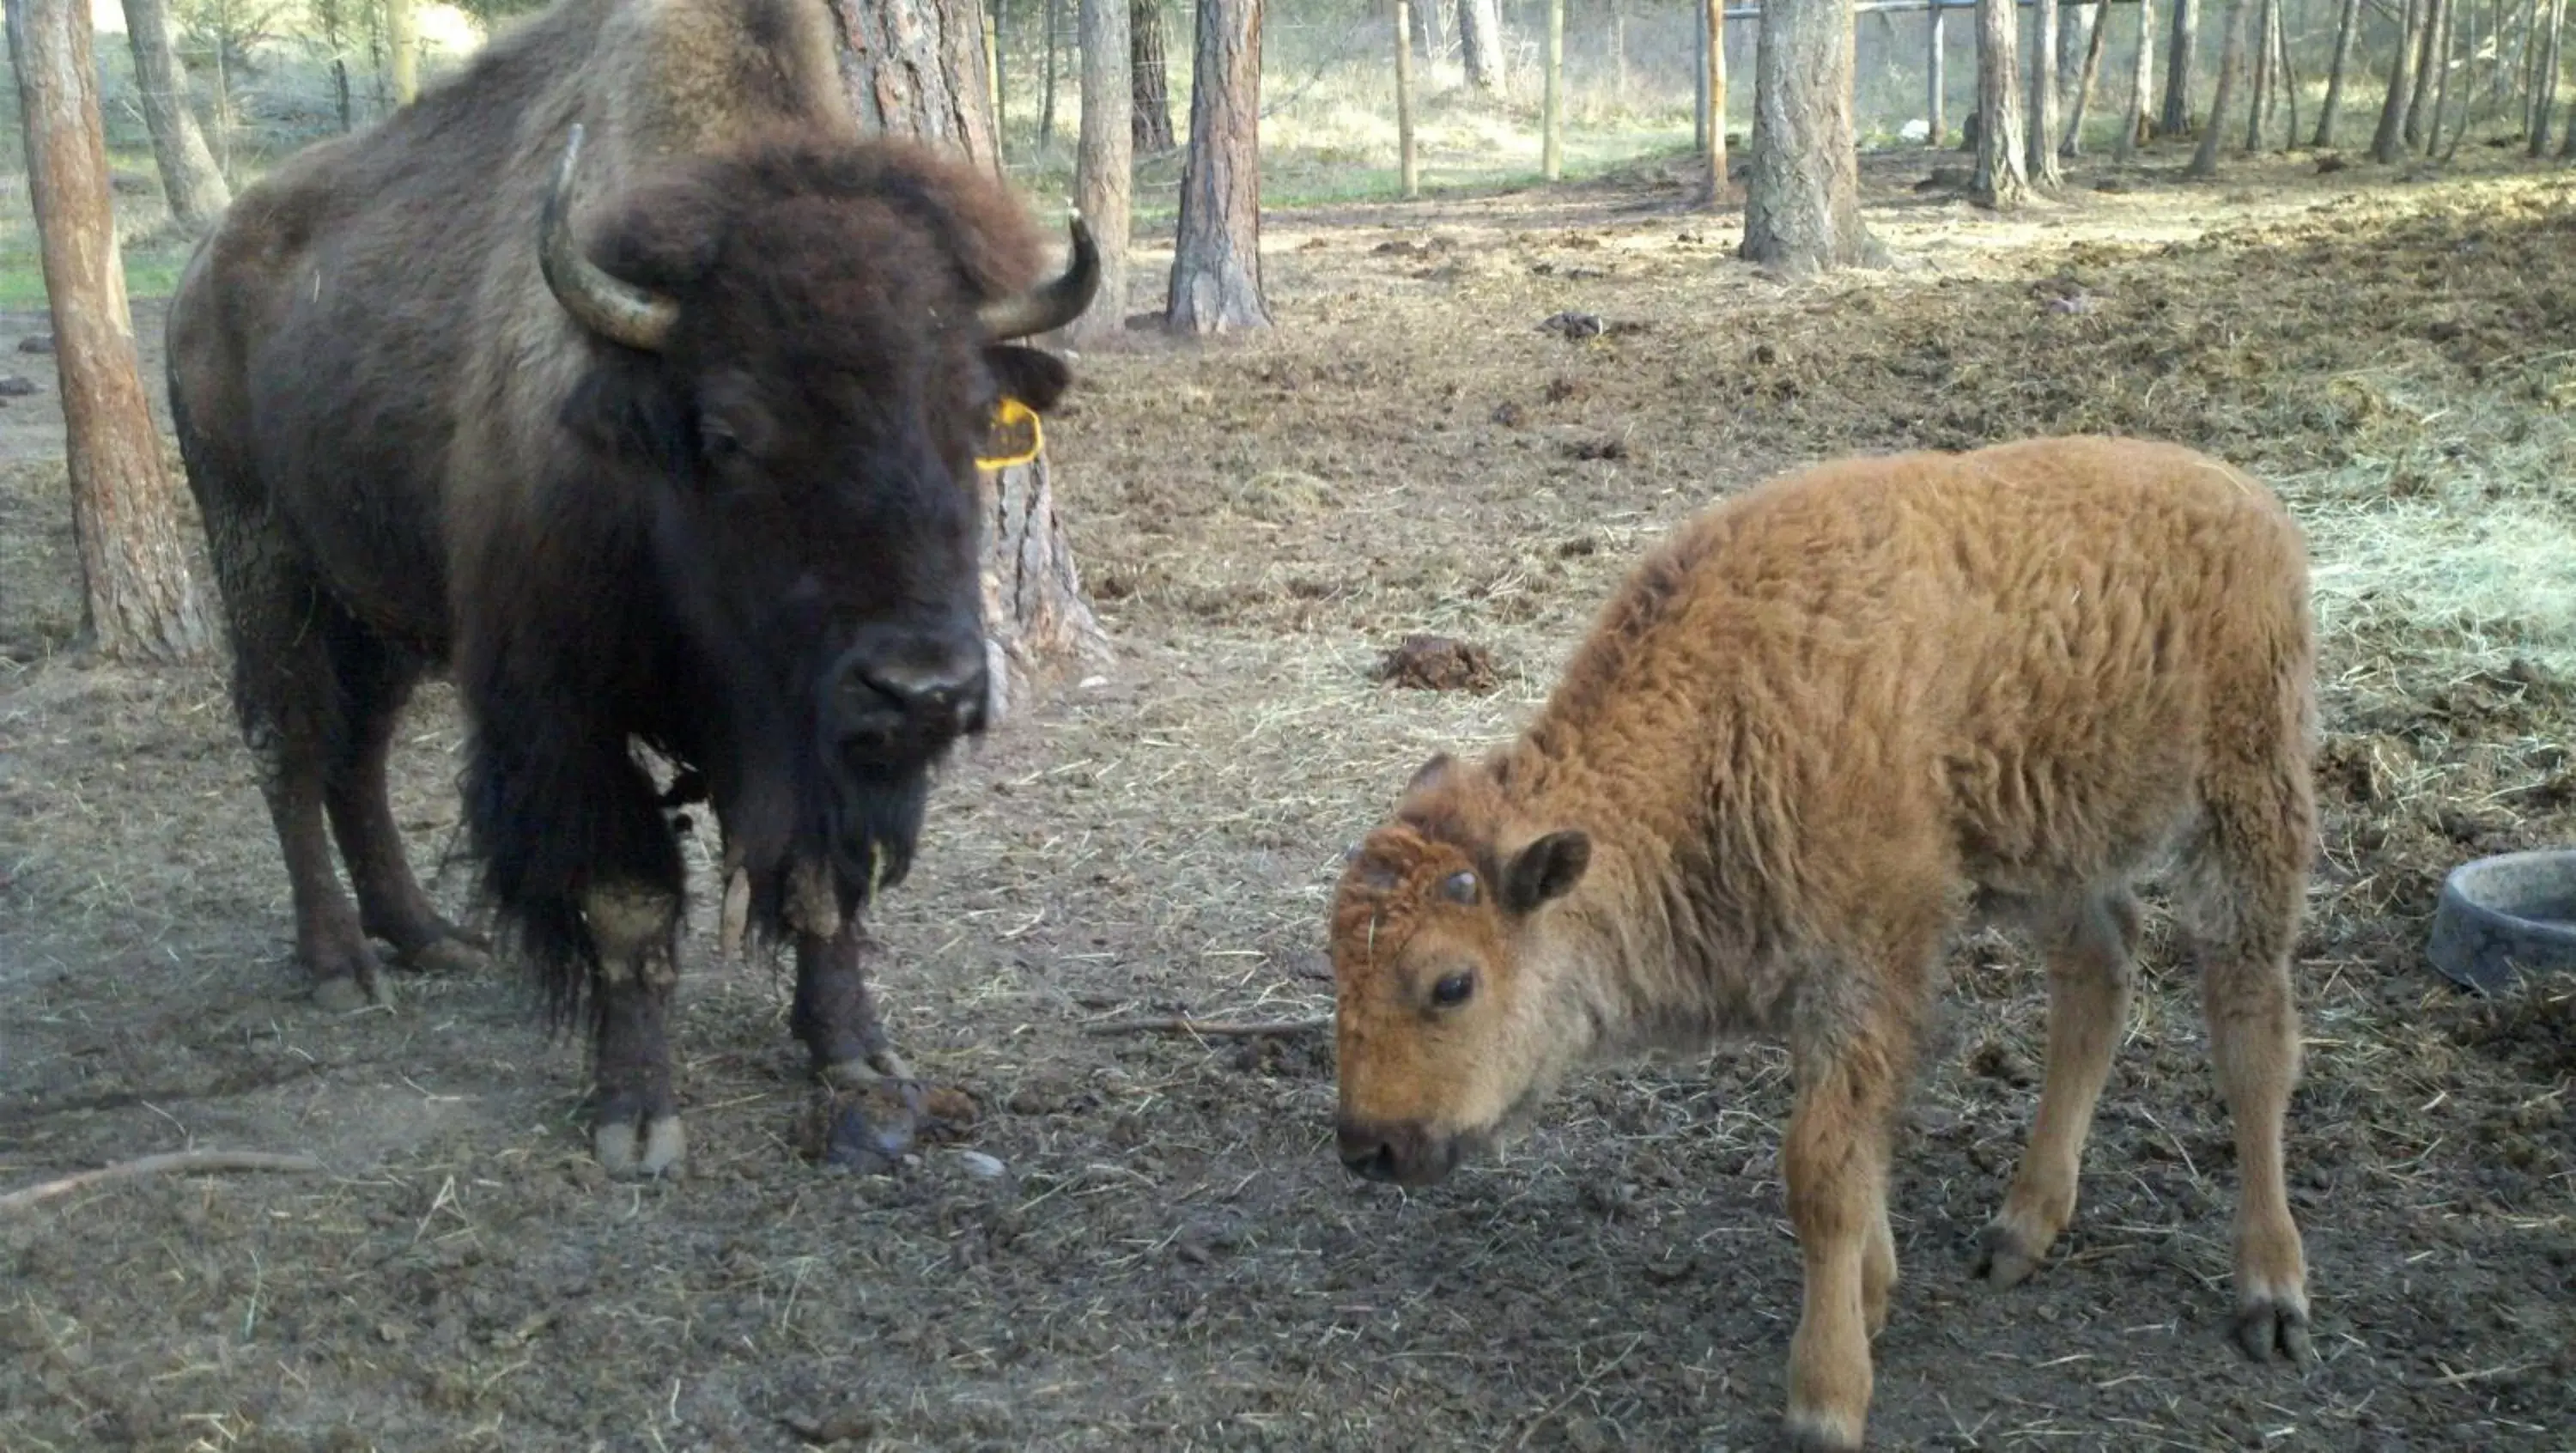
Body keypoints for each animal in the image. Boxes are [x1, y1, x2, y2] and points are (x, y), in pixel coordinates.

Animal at [161, 0, 1087, 1170]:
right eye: (730, 433)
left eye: (971, 422)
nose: (924, 690)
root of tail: (202, 270)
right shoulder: (565, 708)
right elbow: (629, 902)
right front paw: (636, 1120)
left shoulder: (810, 733)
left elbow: (822, 885)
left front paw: (855, 1055)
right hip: (262, 560)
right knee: (289, 743)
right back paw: (340, 966)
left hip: (380, 607)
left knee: (357, 759)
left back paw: (429, 938)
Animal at [1329, 438, 2318, 1443]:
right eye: (1338, 967)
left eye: (1452, 983)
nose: (1368, 1148)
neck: (1725, 713)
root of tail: (2253, 505)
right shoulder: (1828, 983)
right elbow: (1856, 1144)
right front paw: (1875, 1295)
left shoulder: (1865, 964)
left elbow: (1823, 1172)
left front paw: (1826, 1400)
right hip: (2058, 848)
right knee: (2099, 975)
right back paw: (2019, 1231)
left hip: (2248, 806)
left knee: (2253, 1032)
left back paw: (2271, 1294)